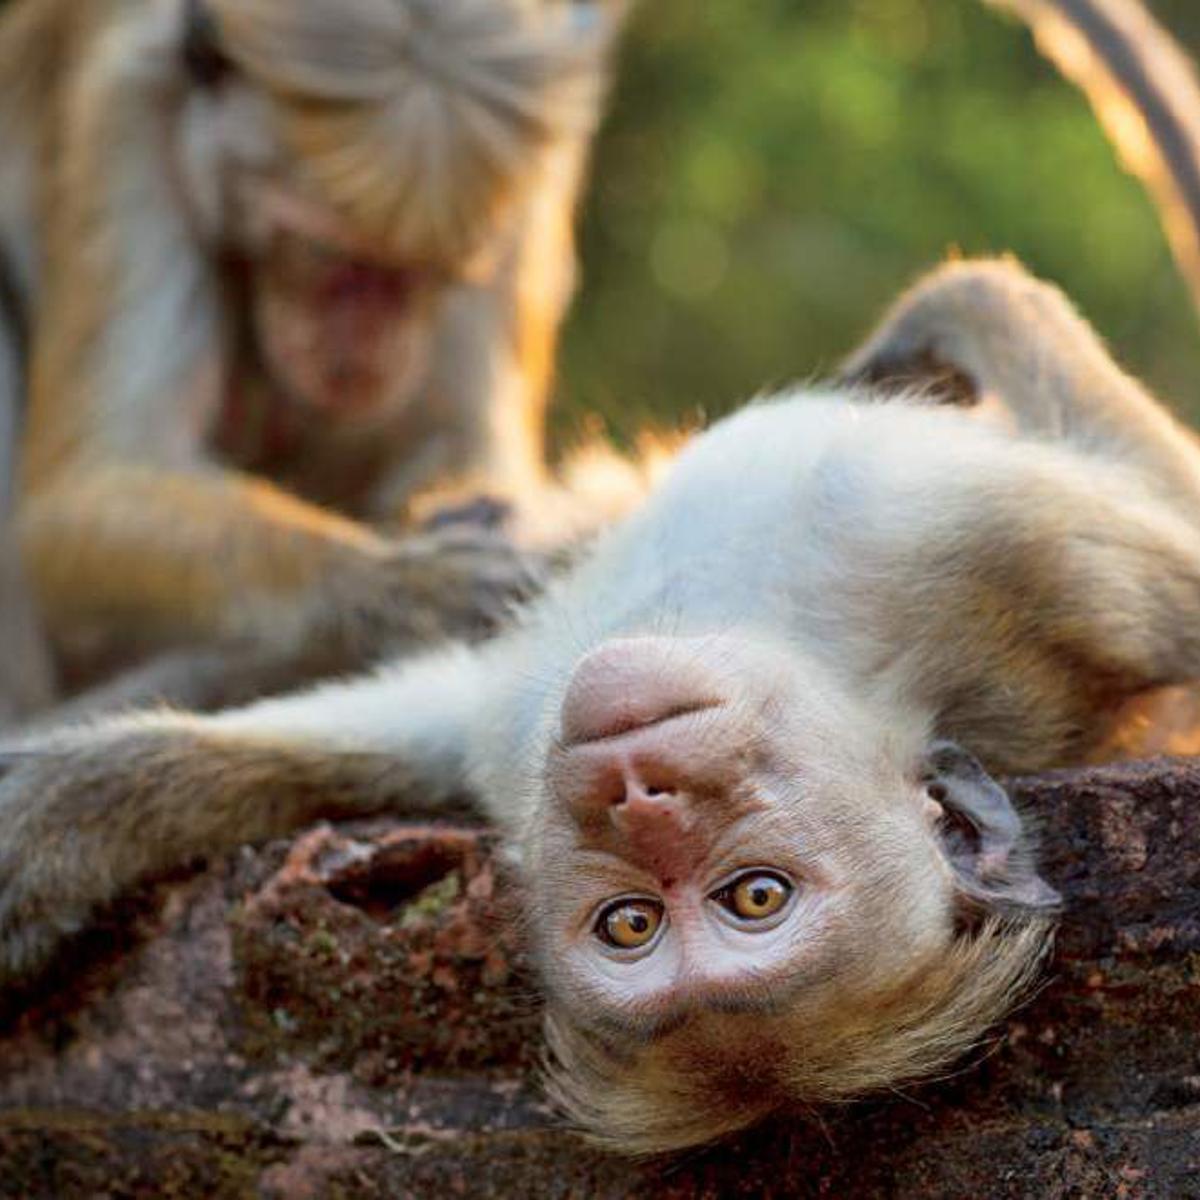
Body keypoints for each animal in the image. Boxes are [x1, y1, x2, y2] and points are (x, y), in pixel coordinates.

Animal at [0, 0, 626, 708]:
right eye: (328, 258)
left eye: (433, 273)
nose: (368, 353)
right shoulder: (125, 113)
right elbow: (85, 487)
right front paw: (397, 590)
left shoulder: (535, 163)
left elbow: (461, 438)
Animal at [7, 257, 1200, 1152]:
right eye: (631, 923)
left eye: (752, 897)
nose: (639, 791)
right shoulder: (516, 736)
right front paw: (59, 818)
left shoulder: (1015, 557)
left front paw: (962, 306)